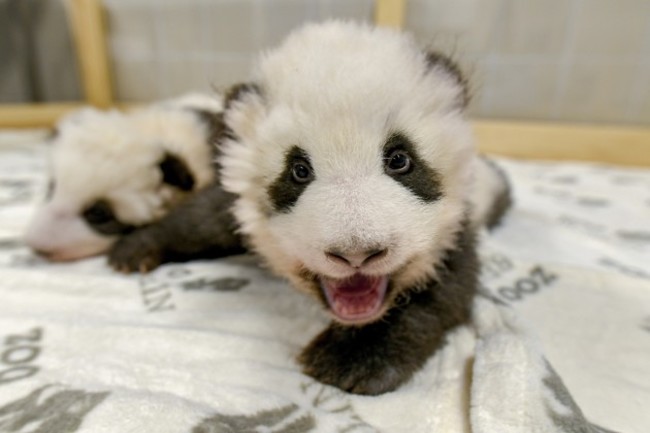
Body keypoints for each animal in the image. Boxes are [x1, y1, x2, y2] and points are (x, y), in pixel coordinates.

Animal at [107, 21, 512, 395]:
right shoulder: (237, 205)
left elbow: (445, 288)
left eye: (400, 160)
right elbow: (201, 219)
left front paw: (351, 358)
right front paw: (136, 249)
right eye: (299, 171)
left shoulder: (453, 230)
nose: (356, 254)